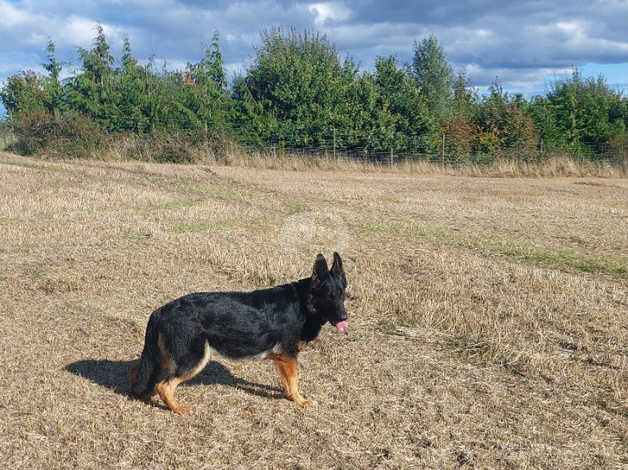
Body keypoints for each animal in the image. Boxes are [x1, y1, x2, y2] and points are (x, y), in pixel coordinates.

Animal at [130, 252, 350, 414]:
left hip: (166, 356)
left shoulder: (282, 359)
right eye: (328, 296)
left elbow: (288, 382)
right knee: (163, 386)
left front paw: (289, 396)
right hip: (194, 359)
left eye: (342, 295)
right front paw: (300, 400)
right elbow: (294, 382)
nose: (344, 318)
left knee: (138, 370)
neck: (303, 303)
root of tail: (162, 310)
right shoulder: (289, 356)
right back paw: (178, 408)